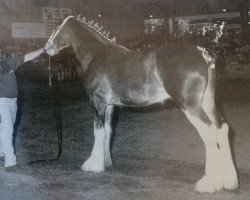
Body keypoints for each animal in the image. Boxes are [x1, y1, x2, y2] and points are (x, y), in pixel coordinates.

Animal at [45, 15, 238, 194]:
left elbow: (98, 132)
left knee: (209, 131)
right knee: (222, 127)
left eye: (56, 28)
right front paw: (106, 161)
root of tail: (202, 53)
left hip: (190, 106)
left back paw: (209, 183)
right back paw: (229, 181)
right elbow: (108, 131)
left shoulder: (98, 104)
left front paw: (94, 165)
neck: (98, 55)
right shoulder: (110, 106)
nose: (47, 48)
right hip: (207, 102)